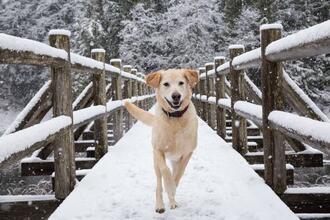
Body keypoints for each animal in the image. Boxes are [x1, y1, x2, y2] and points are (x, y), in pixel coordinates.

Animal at [124, 69, 199, 213]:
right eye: (166, 84)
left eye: (181, 83)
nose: (176, 96)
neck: (175, 118)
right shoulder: (158, 150)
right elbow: (165, 171)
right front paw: (169, 187)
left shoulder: (187, 153)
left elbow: (178, 175)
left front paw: (172, 191)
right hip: (155, 162)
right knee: (159, 183)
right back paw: (160, 205)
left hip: (175, 160)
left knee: (175, 173)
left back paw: (172, 201)